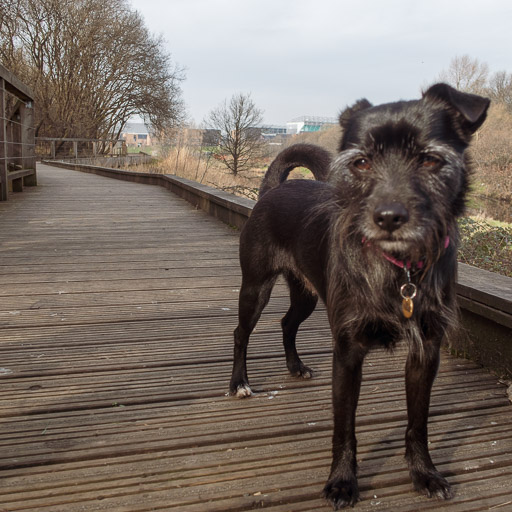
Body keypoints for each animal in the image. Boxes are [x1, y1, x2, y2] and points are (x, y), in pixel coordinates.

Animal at [230, 84, 490, 508]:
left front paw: (425, 474)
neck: (399, 269)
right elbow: (344, 428)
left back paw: (295, 366)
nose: (388, 217)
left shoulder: (425, 353)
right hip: (256, 287)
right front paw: (341, 481)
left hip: (307, 295)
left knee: (287, 323)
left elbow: (418, 423)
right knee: (241, 333)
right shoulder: (348, 353)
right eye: (362, 162)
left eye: (431, 159)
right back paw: (239, 383)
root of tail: (274, 187)